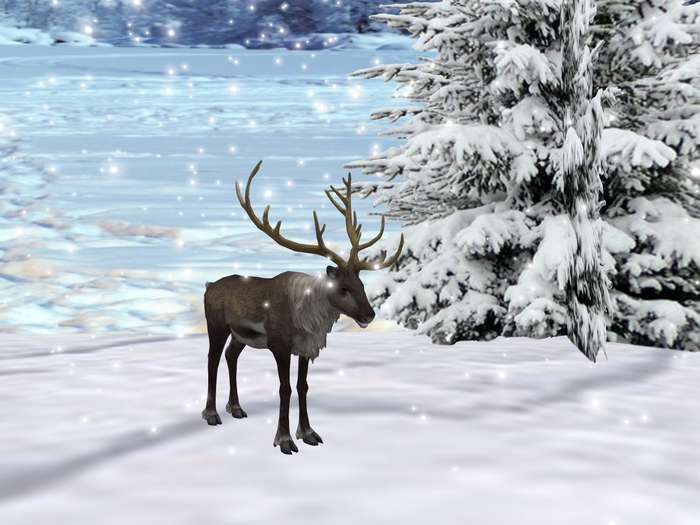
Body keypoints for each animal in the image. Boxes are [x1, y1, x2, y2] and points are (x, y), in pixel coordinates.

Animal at [201, 160, 404, 455]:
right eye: (343, 287)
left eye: (361, 283)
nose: (369, 315)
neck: (307, 316)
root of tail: (208, 286)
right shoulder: (279, 343)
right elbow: (285, 388)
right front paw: (284, 440)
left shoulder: (306, 347)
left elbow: (303, 386)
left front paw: (308, 433)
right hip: (216, 325)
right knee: (212, 359)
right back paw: (211, 414)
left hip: (240, 335)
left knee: (231, 355)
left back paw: (236, 408)